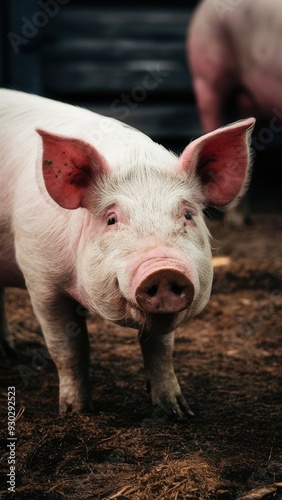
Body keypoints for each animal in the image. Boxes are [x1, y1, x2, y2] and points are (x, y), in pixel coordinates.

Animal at [0, 90, 256, 418]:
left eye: (187, 214)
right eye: (111, 219)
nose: (164, 269)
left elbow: (161, 350)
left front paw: (178, 412)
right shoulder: (40, 278)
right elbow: (66, 348)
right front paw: (75, 412)